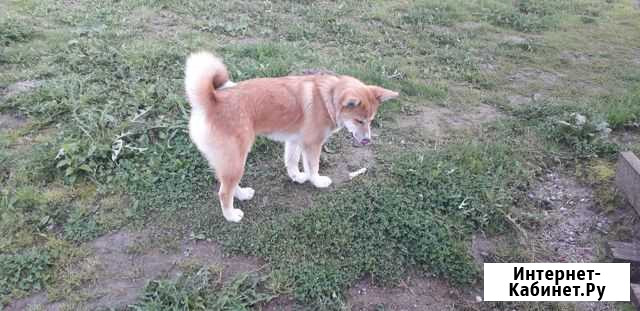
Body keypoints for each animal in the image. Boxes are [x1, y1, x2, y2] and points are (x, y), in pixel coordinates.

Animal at [182, 51, 398, 222]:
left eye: (370, 120)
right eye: (359, 121)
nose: (367, 140)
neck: (328, 99)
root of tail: (212, 101)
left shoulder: (294, 140)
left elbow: (292, 162)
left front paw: (297, 177)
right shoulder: (312, 144)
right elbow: (313, 167)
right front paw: (317, 182)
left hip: (229, 161)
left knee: (227, 184)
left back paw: (243, 195)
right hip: (236, 159)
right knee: (224, 192)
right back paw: (231, 215)